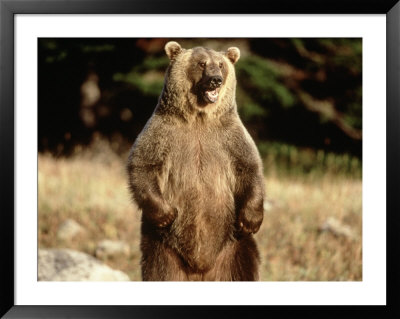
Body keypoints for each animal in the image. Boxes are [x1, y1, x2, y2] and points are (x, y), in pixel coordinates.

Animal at [128, 41, 264, 282]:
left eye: (221, 64)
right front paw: (166, 214)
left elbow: (248, 167)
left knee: (245, 267)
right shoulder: (162, 132)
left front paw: (250, 219)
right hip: (162, 249)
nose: (216, 79)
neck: (199, 116)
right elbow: (143, 165)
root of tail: (201, 269)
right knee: (159, 271)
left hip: (235, 247)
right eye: (201, 63)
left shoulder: (230, 136)